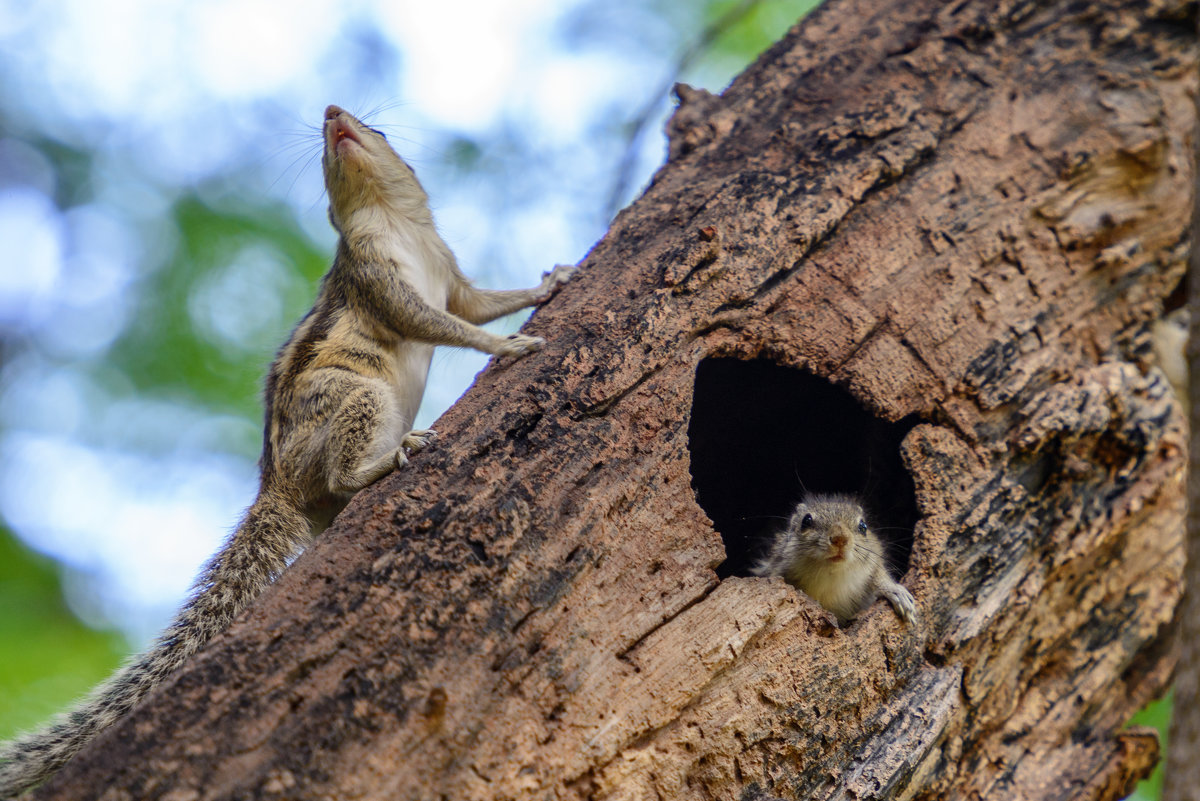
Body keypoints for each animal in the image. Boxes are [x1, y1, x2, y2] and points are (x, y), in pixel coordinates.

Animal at [0, 104, 576, 796]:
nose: (332, 113)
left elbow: (480, 302)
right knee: (346, 471)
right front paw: (505, 346)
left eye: (379, 133)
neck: (394, 221)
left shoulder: (450, 274)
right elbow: (439, 323)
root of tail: (274, 485)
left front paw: (549, 284)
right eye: (330, 142)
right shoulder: (376, 279)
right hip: (354, 397)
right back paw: (384, 459)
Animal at [753, 491, 912, 628]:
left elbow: (879, 574)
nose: (840, 539)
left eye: (863, 526)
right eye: (806, 521)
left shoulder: (874, 557)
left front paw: (896, 593)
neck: (831, 577)